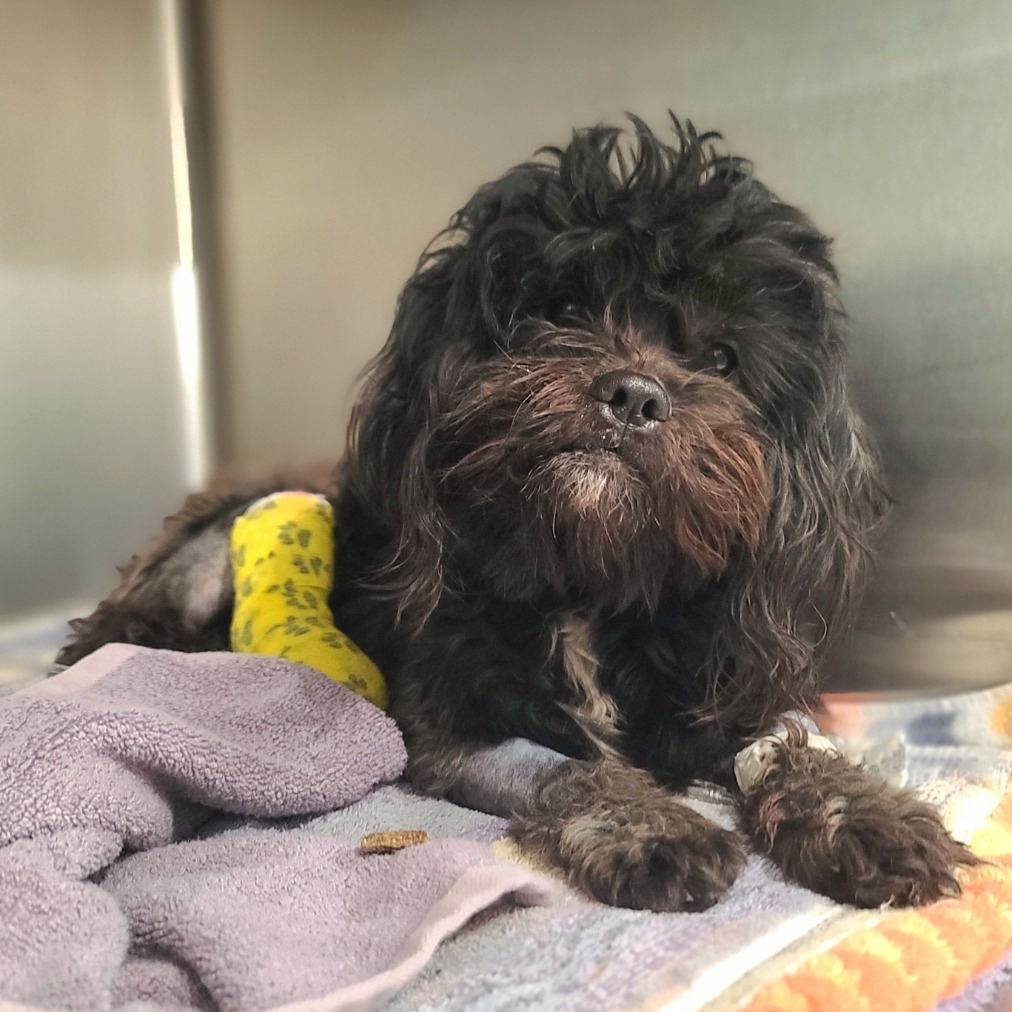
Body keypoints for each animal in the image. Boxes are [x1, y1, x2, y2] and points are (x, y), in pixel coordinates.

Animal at [59, 116, 975, 910]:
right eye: (561, 311)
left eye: (721, 358)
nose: (635, 395)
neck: (592, 582)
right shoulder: (454, 728)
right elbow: (567, 766)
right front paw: (654, 829)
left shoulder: (723, 687)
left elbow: (786, 745)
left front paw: (867, 813)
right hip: (215, 542)